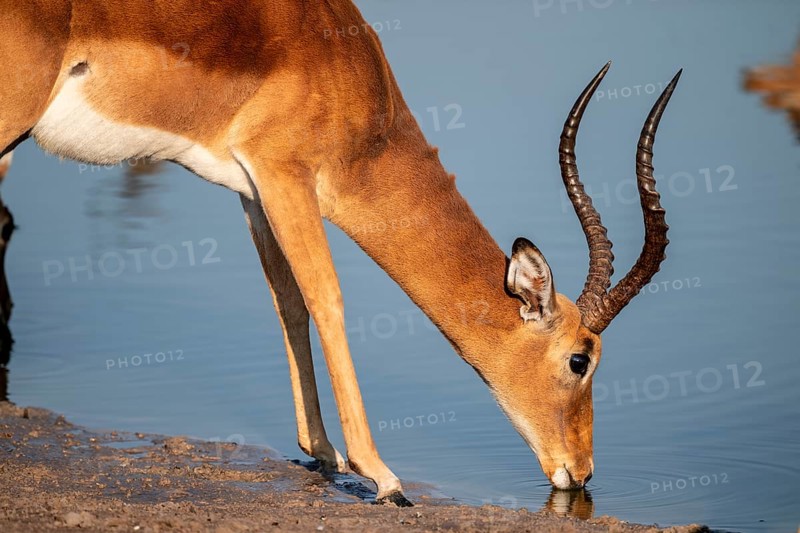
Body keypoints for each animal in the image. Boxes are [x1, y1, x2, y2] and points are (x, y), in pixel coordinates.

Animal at [0, 1, 680, 506]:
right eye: (579, 360)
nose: (581, 473)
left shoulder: (255, 189)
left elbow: (289, 301)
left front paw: (319, 452)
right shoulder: (285, 175)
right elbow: (327, 298)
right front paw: (382, 475)